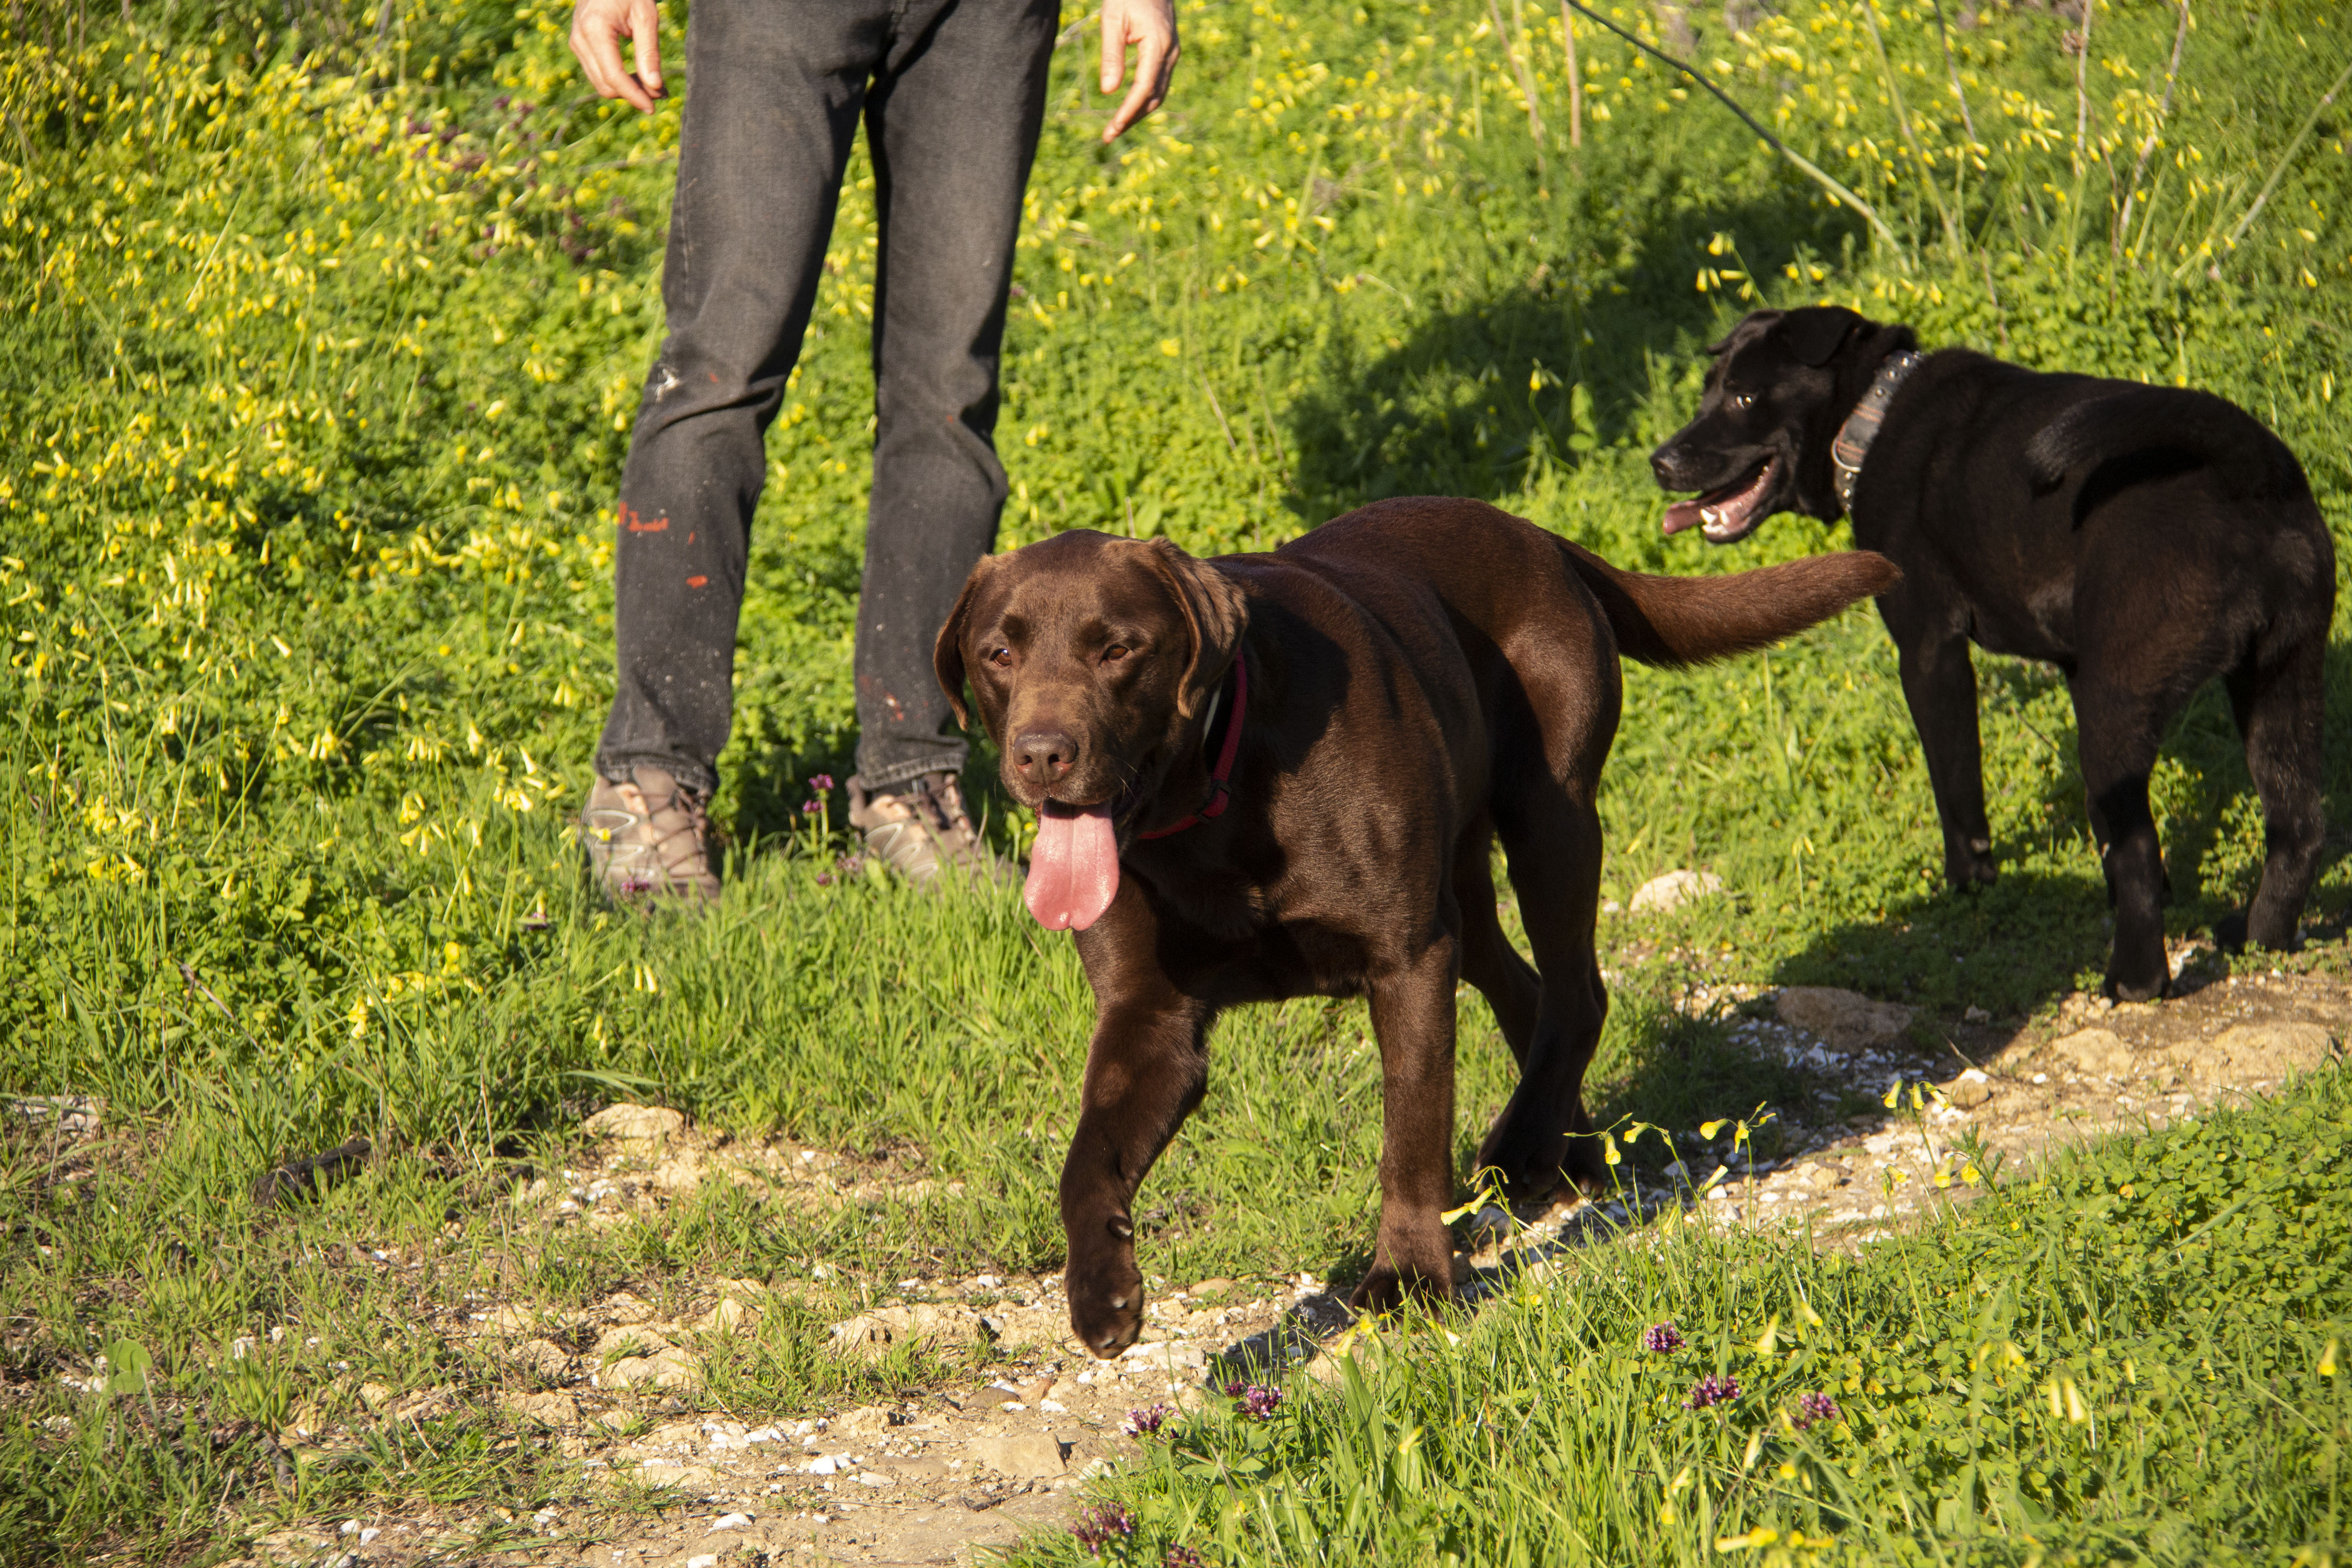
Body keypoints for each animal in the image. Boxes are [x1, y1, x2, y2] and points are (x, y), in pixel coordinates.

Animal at [934, 499, 1895, 1354]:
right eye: (998, 653)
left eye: (1119, 648)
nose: (1041, 753)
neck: (1212, 790)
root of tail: (1539, 536)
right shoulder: (1150, 1016)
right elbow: (1084, 1161)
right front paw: (1103, 1294)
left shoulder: (1407, 959)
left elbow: (1411, 1134)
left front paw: (1407, 1278)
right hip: (1464, 884)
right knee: (1529, 989)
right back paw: (1565, 1147)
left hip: (1549, 816)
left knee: (1577, 991)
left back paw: (1522, 1146)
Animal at [1649, 306, 2336, 1001]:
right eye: (1707, 392)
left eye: (1743, 398)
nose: (1660, 461)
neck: (1873, 415)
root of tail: (2249, 466)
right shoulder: (2075, 665)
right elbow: (2098, 819)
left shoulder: (1932, 652)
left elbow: (1958, 793)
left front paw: (1968, 887)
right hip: (2282, 680)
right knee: (2298, 827)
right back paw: (2258, 936)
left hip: (2120, 701)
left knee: (2146, 844)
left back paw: (2134, 981)